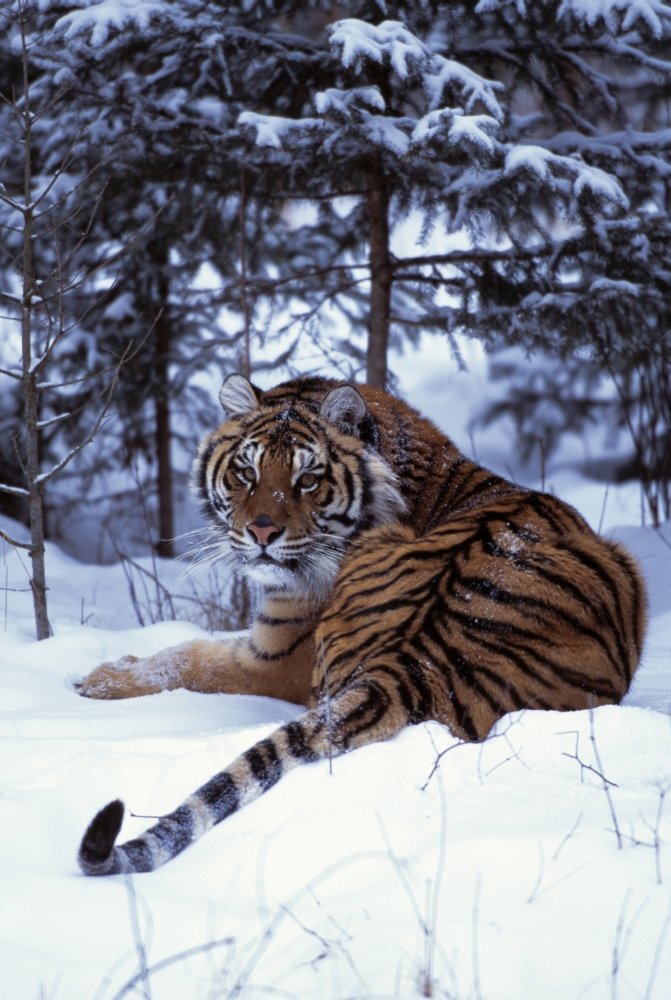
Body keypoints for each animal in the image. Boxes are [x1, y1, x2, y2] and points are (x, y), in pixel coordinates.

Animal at [76, 373, 646, 875]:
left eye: (307, 479)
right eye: (247, 473)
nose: (261, 532)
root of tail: (408, 663)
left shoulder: (277, 657)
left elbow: (190, 659)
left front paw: (96, 679)